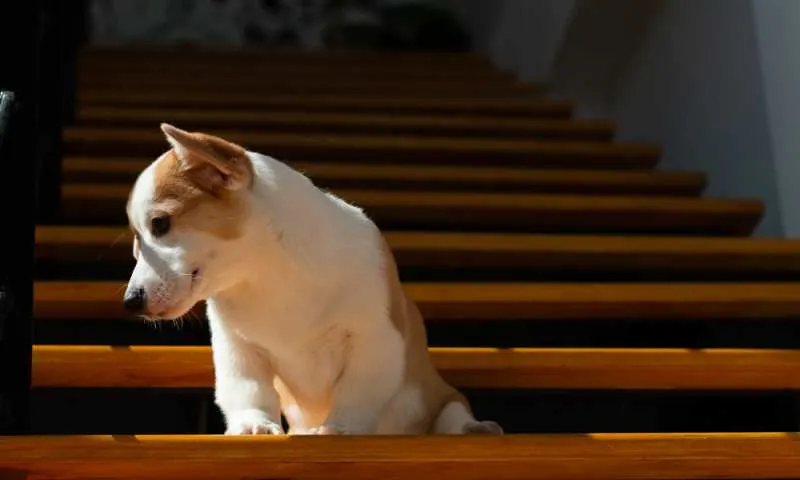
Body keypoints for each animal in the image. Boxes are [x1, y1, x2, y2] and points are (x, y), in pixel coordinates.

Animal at [122, 123, 504, 436]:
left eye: (160, 223)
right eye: (137, 241)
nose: (131, 302)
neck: (265, 275)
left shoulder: (376, 341)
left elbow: (356, 395)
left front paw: (337, 428)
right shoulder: (237, 346)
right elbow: (249, 390)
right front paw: (253, 424)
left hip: (445, 399)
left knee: (453, 416)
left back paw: (474, 427)